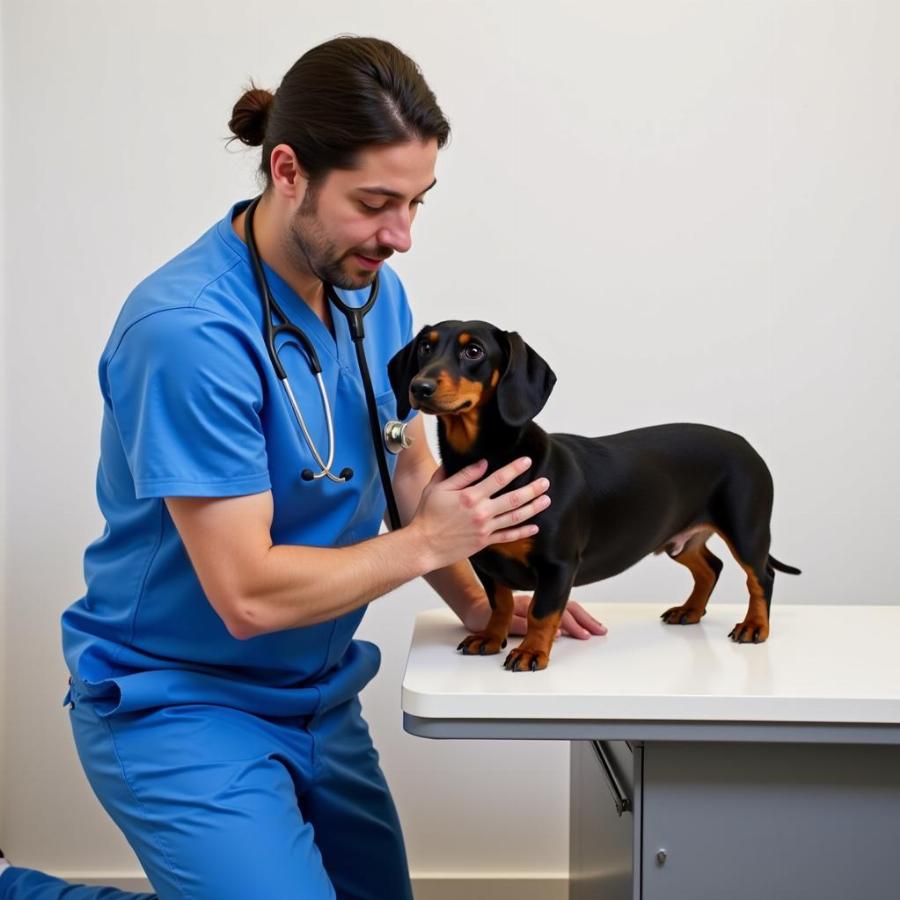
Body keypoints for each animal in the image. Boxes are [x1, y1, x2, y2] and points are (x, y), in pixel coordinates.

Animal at [388, 320, 800, 672]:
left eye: (473, 351)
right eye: (425, 347)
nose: (419, 387)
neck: (493, 460)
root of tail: (745, 445)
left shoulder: (558, 565)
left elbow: (540, 611)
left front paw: (531, 651)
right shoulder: (486, 563)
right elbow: (501, 603)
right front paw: (491, 637)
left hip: (745, 528)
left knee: (760, 576)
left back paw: (754, 627)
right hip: (680, 539)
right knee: (710, 567)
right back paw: (690, 611)